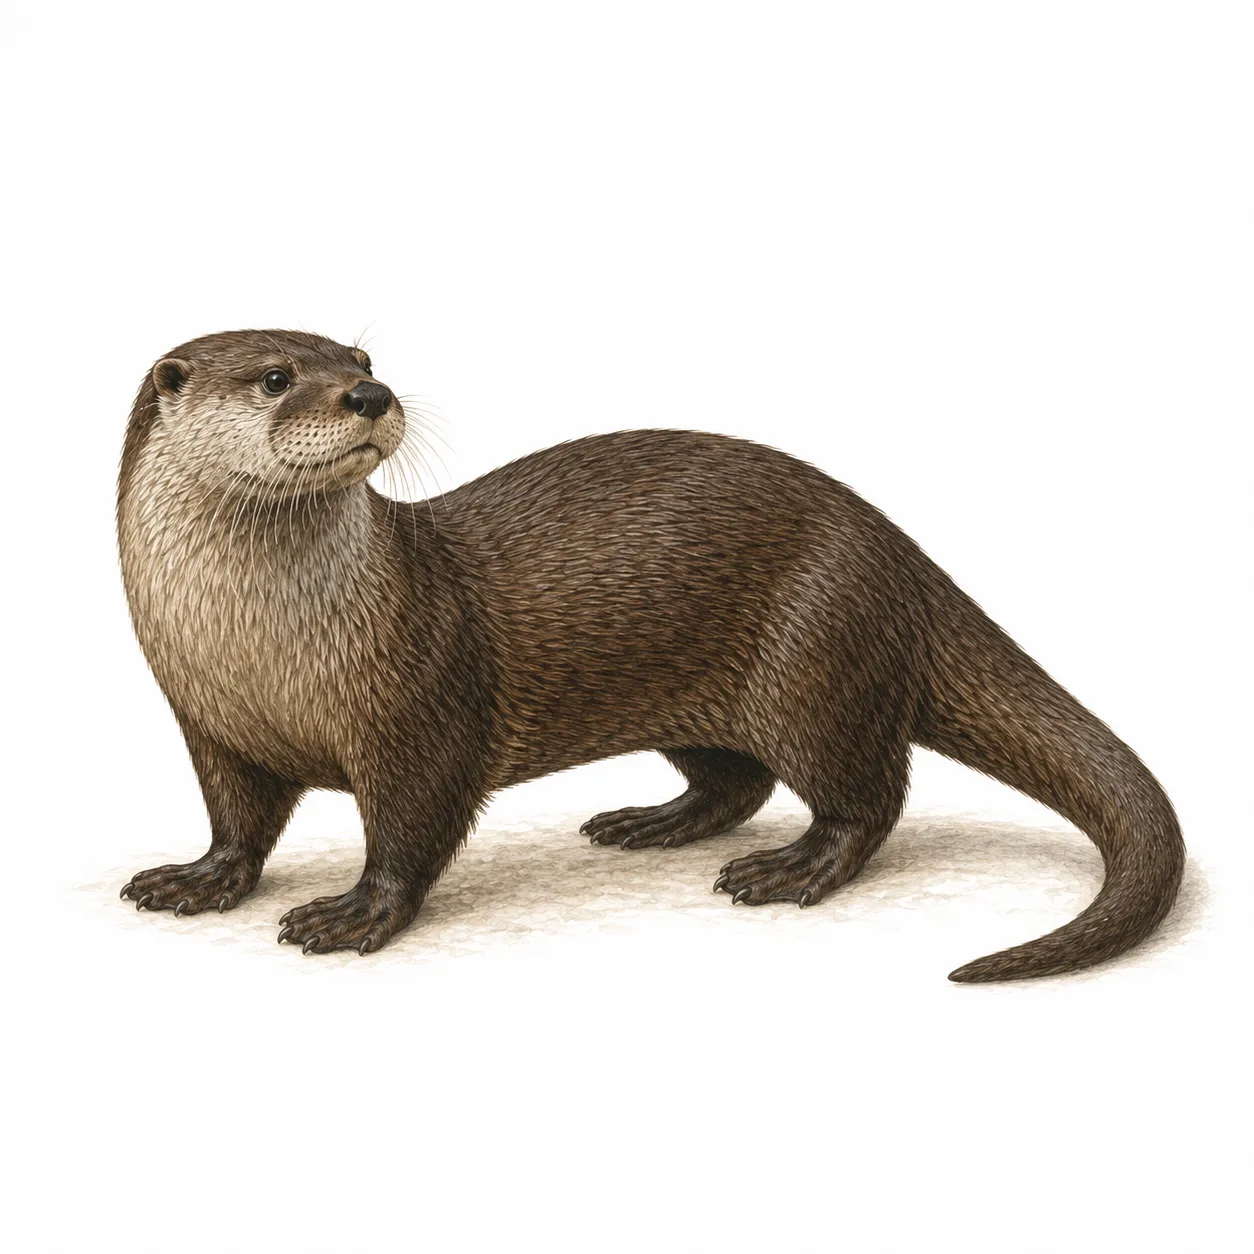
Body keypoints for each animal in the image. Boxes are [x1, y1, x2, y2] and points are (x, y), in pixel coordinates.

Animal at [116, 329, 1185, 982]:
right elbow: (238, 821)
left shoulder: (422, 713)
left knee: (867, 792)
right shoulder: (208, 722)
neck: (264, 656)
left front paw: (354, 916)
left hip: (817, 659)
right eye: (274, 377)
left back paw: (791, 868)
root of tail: (897, 550)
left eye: (362, 353)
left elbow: (412, 830)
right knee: (737, 781)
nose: (369, 393)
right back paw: (649, 822)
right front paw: (196, 880)